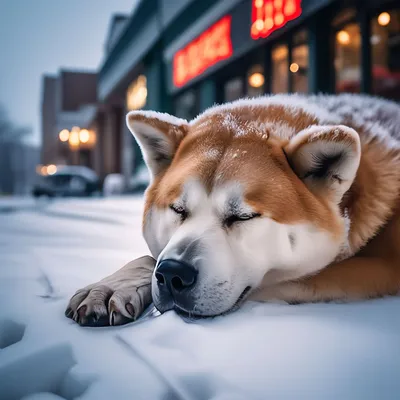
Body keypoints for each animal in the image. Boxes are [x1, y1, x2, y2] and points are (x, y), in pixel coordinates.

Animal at [65, 95, 400, 326]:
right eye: (178, 209)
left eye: (243, 216)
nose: (173, 273)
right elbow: (148, 258)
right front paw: (109, 287)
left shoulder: (380, 269)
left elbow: (274, 283)